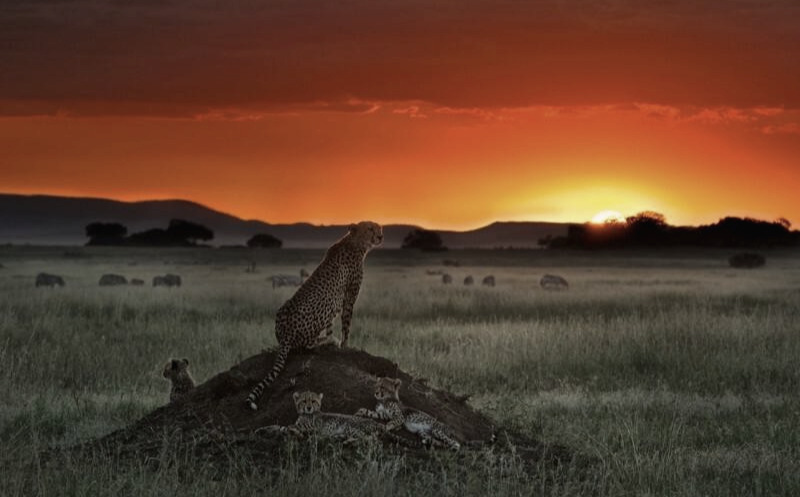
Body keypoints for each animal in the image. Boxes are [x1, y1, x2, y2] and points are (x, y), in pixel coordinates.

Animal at [245, 221, 383, 411]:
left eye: (379, 228)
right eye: (370, 228)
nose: (380, 236)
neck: (355, 243)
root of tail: (284, 335)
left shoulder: (338, 301)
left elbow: (332, 325)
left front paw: (334, 339)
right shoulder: (348, 296)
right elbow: (346, 325)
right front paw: (345, 345)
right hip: (322, 305)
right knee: (308, 345)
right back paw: (324, 341)